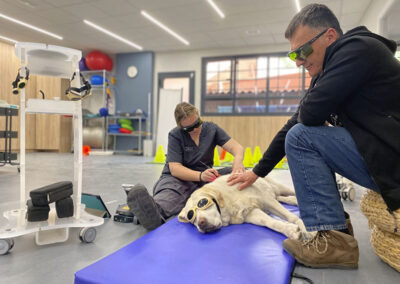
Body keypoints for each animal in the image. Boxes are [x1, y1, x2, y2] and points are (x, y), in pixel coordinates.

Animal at [180, 173, 308, 240]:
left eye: (202, 203)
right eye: (191, 217)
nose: (200, 223)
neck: (228, 201)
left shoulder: (266, 199)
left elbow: (292, 217)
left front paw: (306, 228)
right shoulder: (250, 213)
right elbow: (270, 222)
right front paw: (290, 230)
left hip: (279, 188)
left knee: (291, 192)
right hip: (275, 194)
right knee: (282, 198)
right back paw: (293, 201)